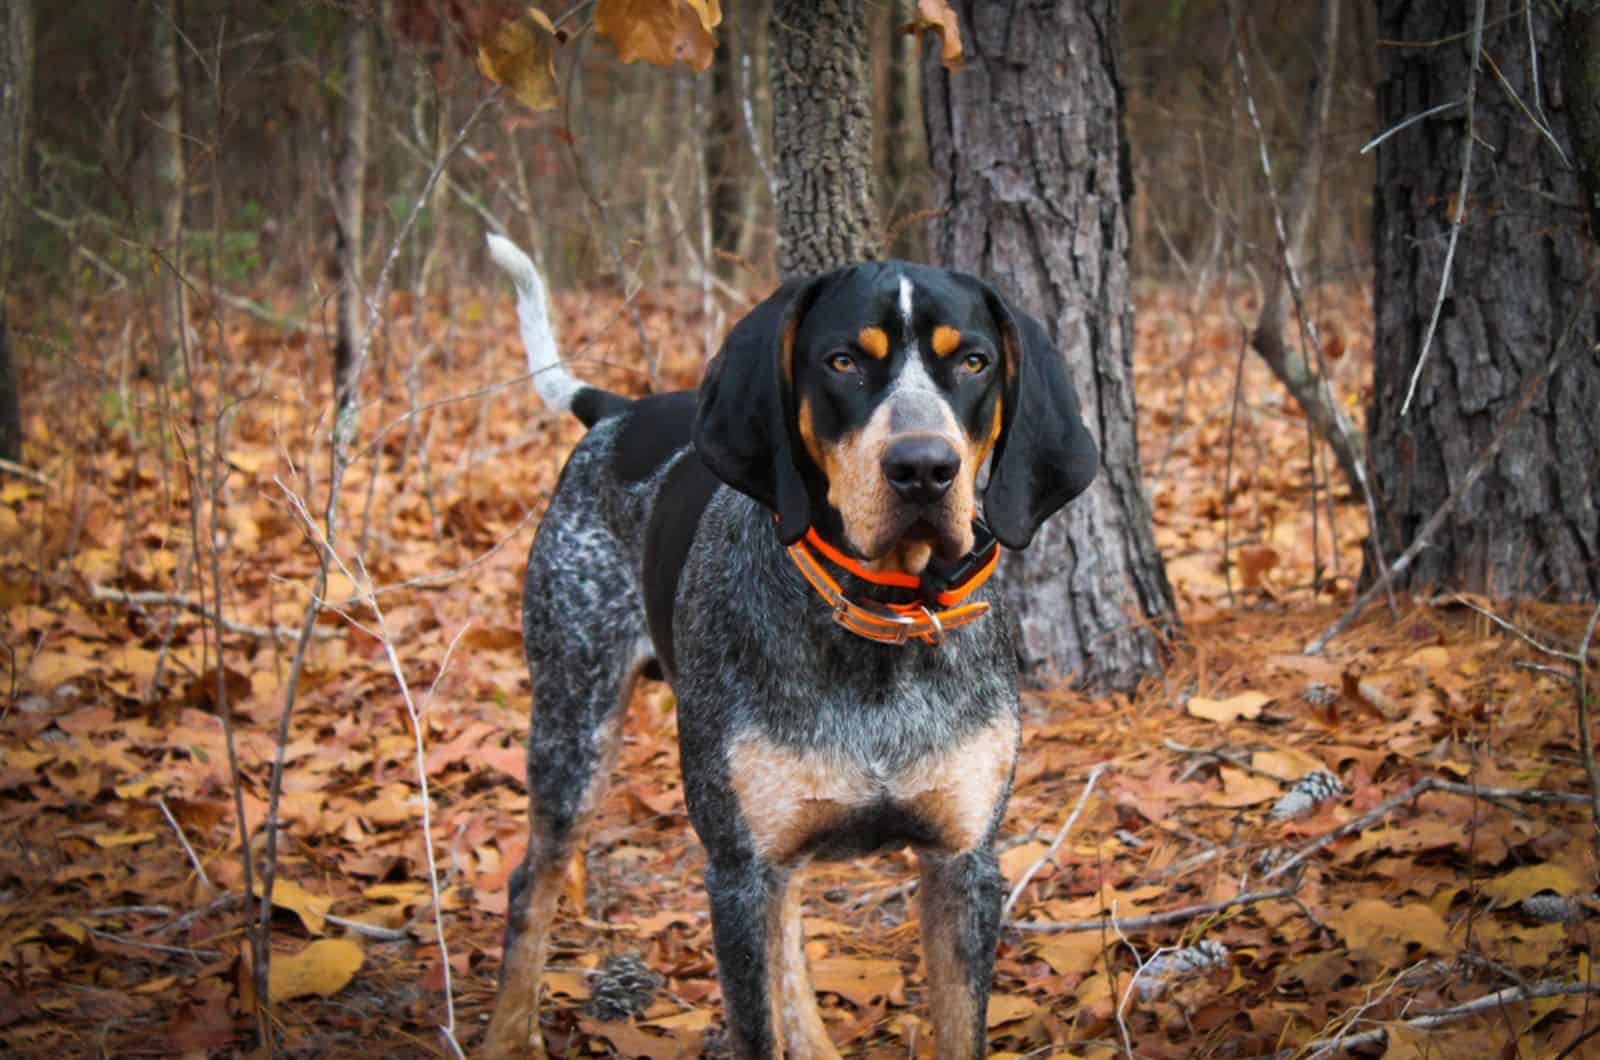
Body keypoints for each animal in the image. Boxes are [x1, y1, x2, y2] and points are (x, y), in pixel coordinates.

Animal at [480, 235, 1094, 1060]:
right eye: (842, 362)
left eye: (973, 361)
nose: (924, 469)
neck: (880, 623)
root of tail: (620, 411)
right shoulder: (737, 871)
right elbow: (754, 1022)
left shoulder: (963, 865)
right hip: (573, 725)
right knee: (531, 884)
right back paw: (505, 1034)